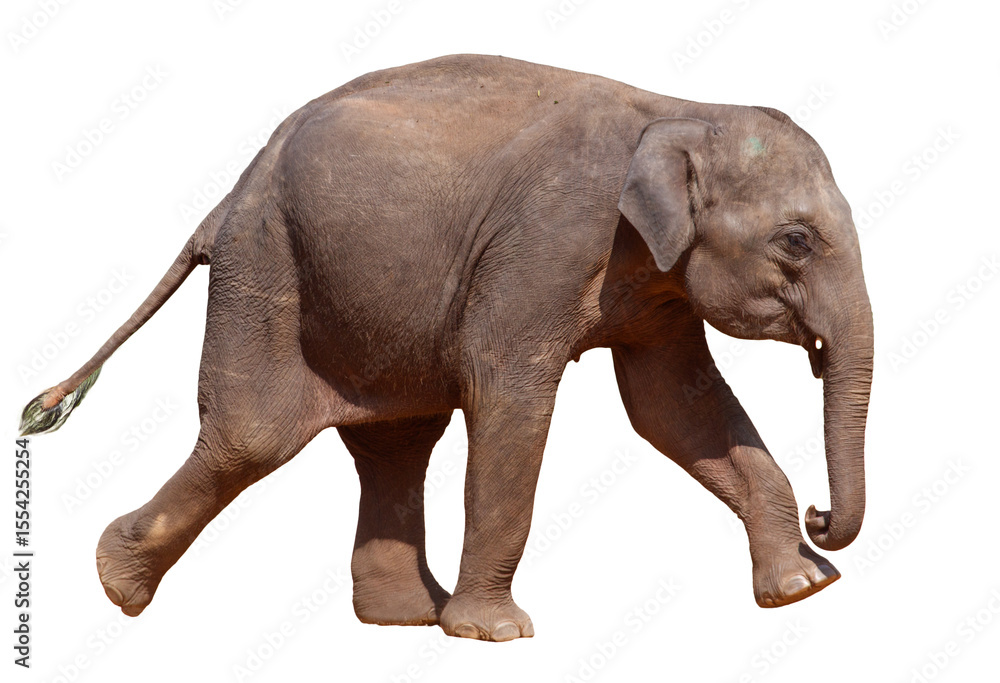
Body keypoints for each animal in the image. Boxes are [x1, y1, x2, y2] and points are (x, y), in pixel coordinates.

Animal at [21, 54, 873, 642]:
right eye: (796, 240)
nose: (822, 514)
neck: (680, 109)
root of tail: (224, 198)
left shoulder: (656, 284)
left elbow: (674, 408)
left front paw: (804, 587)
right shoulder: (545, 244)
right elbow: (513, 397)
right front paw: (496, 634)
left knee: (395, 440)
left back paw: (404, 619)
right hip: (265, 264)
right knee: (251, 436)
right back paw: (115, 583)